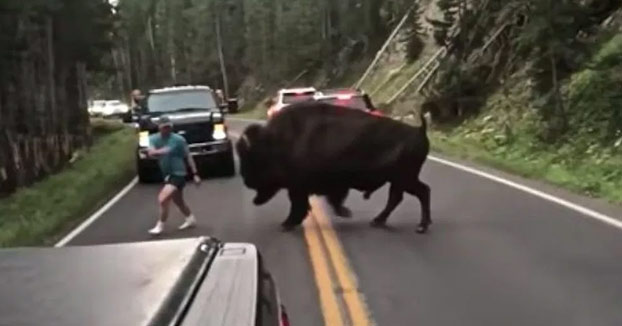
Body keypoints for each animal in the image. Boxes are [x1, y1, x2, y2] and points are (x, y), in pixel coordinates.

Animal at [235, 102, 434, 232]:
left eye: (252, 157)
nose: (246, 181)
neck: (277, 141)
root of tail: (419, 130)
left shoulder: (302, 186)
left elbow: (301, 204)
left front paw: (287, 224)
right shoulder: (311, 186)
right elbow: (323, 201)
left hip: (404, 178)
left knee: (415, 193)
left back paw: (420, 226)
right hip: (400, 179)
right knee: (406, 195)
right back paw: (381, 221)